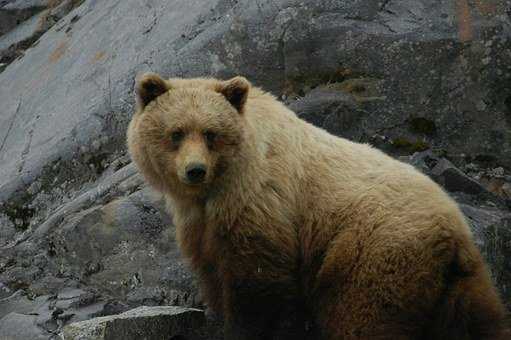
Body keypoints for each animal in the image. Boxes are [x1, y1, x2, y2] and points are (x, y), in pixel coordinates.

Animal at [128, 73, 508, 338]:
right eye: (176, 133)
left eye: (210, 133)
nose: (195, 170)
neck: (217, 188)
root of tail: (453, 231)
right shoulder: (202, 227)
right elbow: (214, 274)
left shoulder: (263, 205)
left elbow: (259, 290)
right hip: (460, 285)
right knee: (479, 323)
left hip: (372, 254)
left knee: (363, 319)